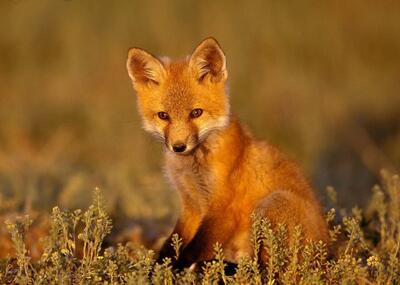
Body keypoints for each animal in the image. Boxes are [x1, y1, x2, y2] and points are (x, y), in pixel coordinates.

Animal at [126, 36, 330, 268]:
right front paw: (158, 268)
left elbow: (193, 250)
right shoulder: (191, 204)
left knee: (267, 269)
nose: (178, 146)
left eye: (196, 113)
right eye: (163, 116)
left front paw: (176, 270)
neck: (194, 165)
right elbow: (171, 245)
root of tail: (327, 255)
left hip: (273, 203)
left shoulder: (224, 207)